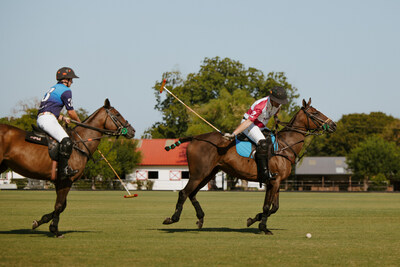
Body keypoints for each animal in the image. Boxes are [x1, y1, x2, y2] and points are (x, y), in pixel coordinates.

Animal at [0, 99, 135, 238]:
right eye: (117, 114)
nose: (132, 131)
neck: (79, 144)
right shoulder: (66, 180)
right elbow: (59, 205)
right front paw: (55, 230)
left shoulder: (58, 181)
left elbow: (62, 206)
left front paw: (38, 222)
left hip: (3, 165)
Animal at [162, 98, 334, 234]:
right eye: (315, 112)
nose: (333, 125)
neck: (285, 145)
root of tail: (195, 138)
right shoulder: (273, 181)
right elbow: (267, 206)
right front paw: (263, 228)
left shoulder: (276, 182)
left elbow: (274, 207)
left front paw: (253, 220)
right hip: (199, 173)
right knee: (184, 193)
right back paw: (172, 219)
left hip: (209, 173)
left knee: (192, 194)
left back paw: (200, 219)